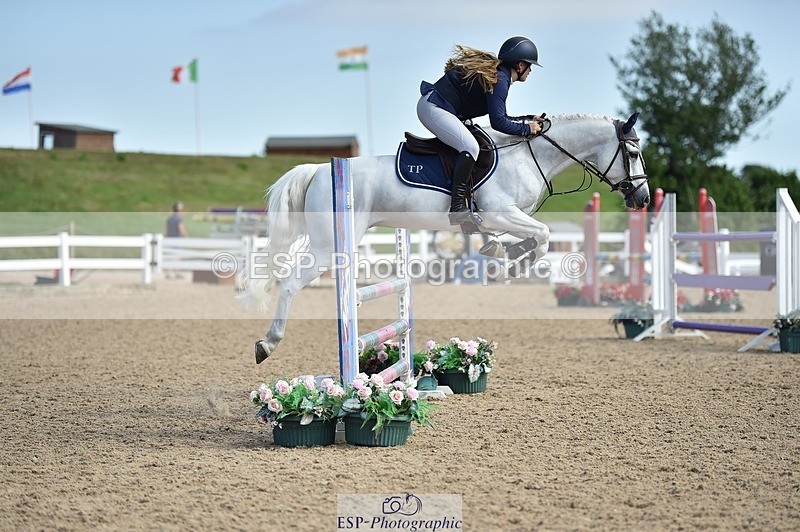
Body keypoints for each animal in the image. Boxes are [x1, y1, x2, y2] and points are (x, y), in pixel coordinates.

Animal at [247, 112, 650, 363]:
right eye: (632, 152)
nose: (643, 199)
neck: (528, 154)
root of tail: (318, 169)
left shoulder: (504, 217)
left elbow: (524, 237)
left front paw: (500, 253)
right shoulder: (500, 212)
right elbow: (544, 235)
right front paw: (510, 264)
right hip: (328, 247)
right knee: (289, 283)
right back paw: (268, 343)